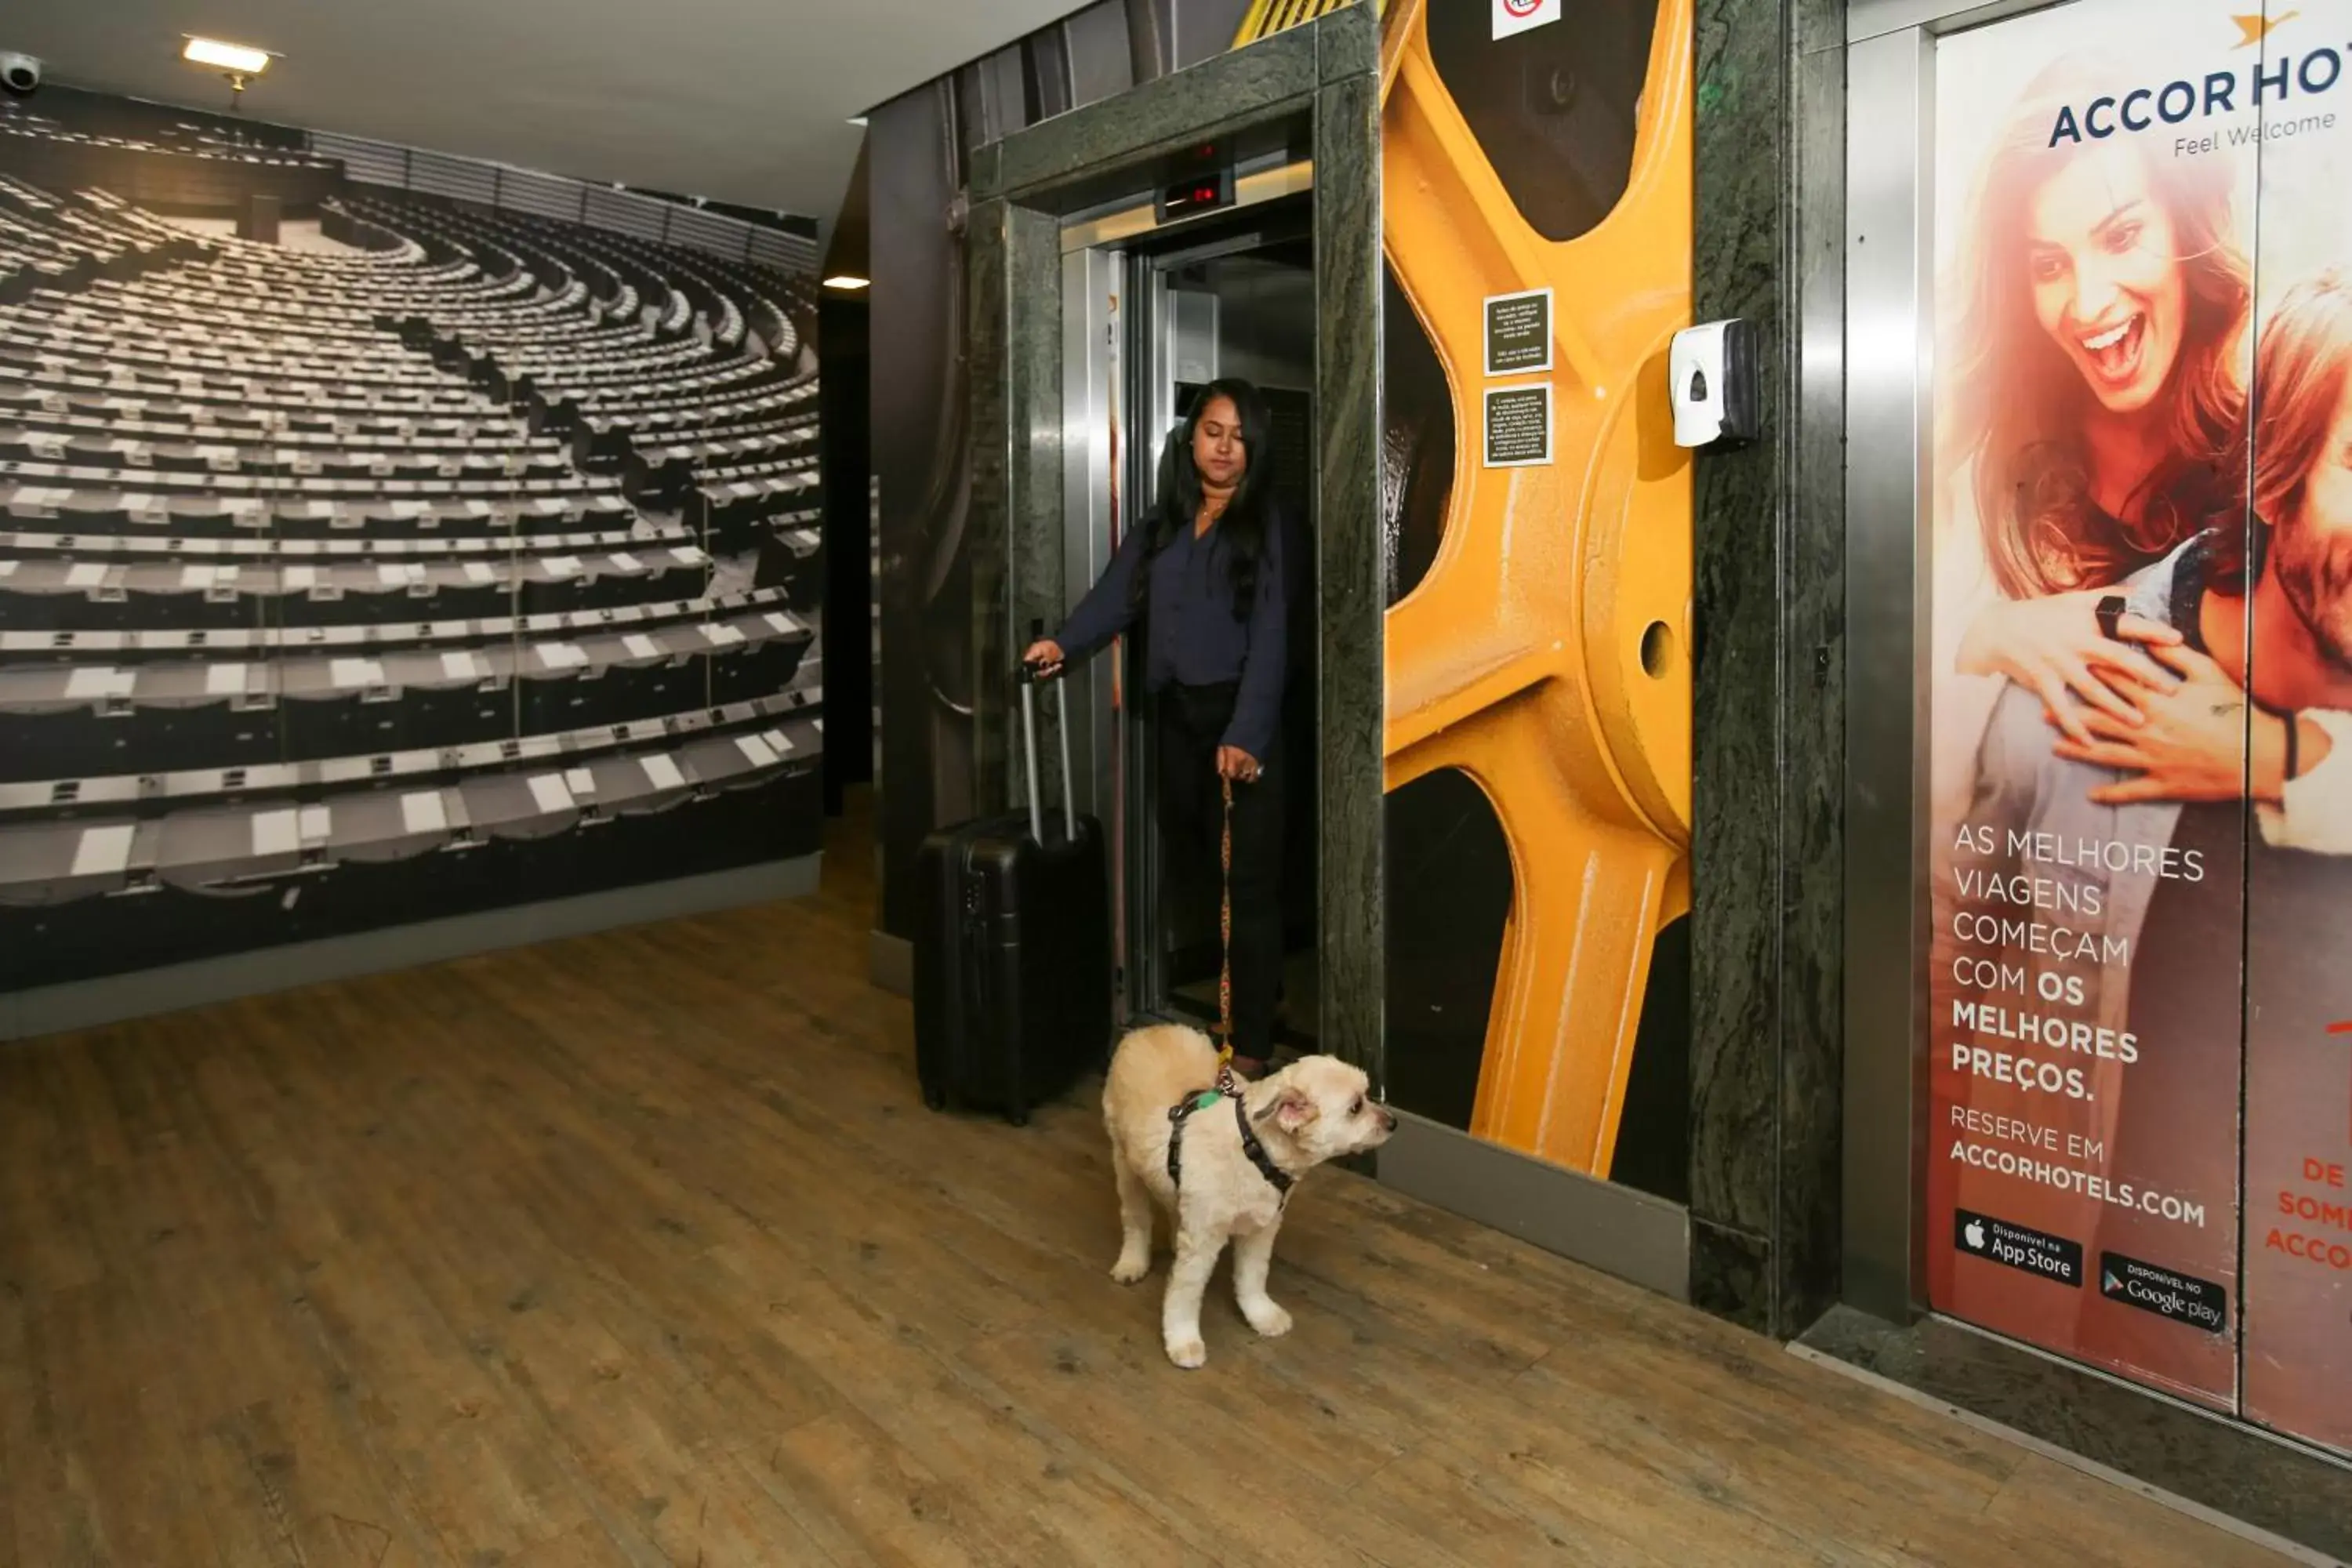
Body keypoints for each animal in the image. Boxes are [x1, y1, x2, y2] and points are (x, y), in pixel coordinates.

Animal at [1101, 1025, 1392, 1363]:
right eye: (1356, 1107)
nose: (1394, 1122)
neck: (1254, 1149)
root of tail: (1147, 1029)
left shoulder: (1260, 1229)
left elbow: (1252, 1276)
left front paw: (1261, 1316)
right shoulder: (1202, 1240)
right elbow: (1185, 1292)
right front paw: (1183, 1341)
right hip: (1125, 1164)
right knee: (1135, 1219)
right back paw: (1132, 1262)